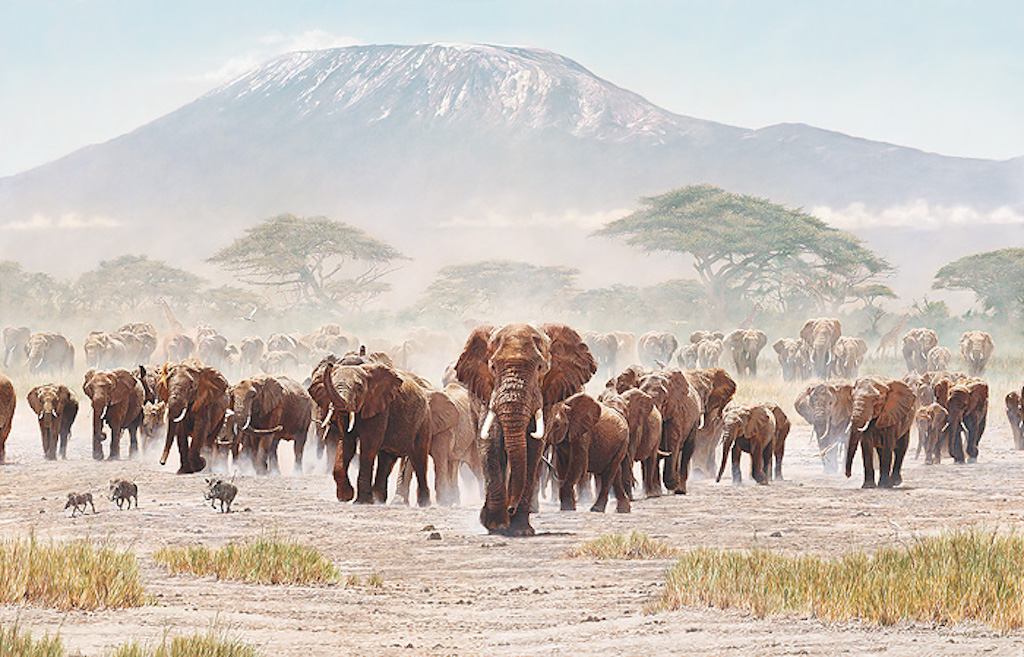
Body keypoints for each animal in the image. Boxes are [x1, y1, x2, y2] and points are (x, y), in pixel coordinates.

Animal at [309, 352, 432, 506]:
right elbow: (346, 443)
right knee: (386, 458)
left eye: (360, 389)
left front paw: (362, 501)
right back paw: (379, 499)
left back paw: (424, 503)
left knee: (419, 458)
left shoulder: (380, 407)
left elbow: (368, 446)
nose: (330, 365)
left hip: (424, 420)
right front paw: (346, 497)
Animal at [455, 323, 596, 536]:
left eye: (540, 368)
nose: (511, 509)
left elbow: (533, 448)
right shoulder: (488, 392)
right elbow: (491, 441)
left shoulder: (547, 396)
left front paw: (520, 530)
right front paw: (497, 527)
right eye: (493, 367)